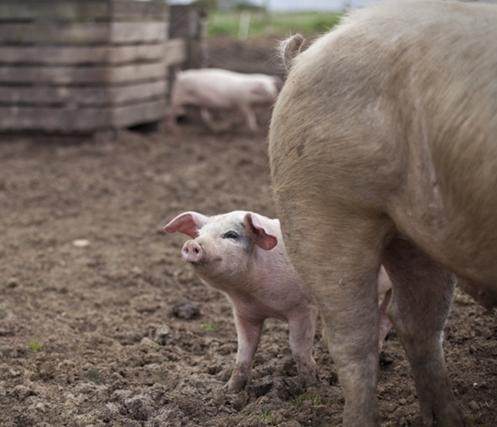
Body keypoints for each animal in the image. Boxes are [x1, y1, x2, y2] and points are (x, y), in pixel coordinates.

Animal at [163, 211, 318, 392]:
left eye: (231, 235)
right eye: (199, 234)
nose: (191, 244)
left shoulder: (303, 308)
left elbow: (299, 348)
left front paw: (312, 387)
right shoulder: (244, 313)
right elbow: (244, 351)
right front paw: (229, 390)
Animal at [270, 0, 496, 427]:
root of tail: (306, 54)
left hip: (418, 231)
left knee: (418, 323)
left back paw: (453, 420)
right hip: (321, 210)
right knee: (352, 339)